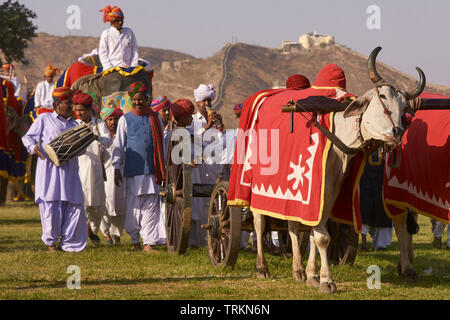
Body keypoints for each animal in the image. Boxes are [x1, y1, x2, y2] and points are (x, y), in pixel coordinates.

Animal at [253, 46, 426, 294]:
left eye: (404, 107)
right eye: (382, 97)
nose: (397, 132)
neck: (338, 140)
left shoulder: (327, 195)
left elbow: (314, 235)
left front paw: (312, 275)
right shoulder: (315, 193)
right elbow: (322, 237)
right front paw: (326, 280)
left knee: (293, 226)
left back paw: (297, 269)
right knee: (259, 223)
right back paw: (262, 267)